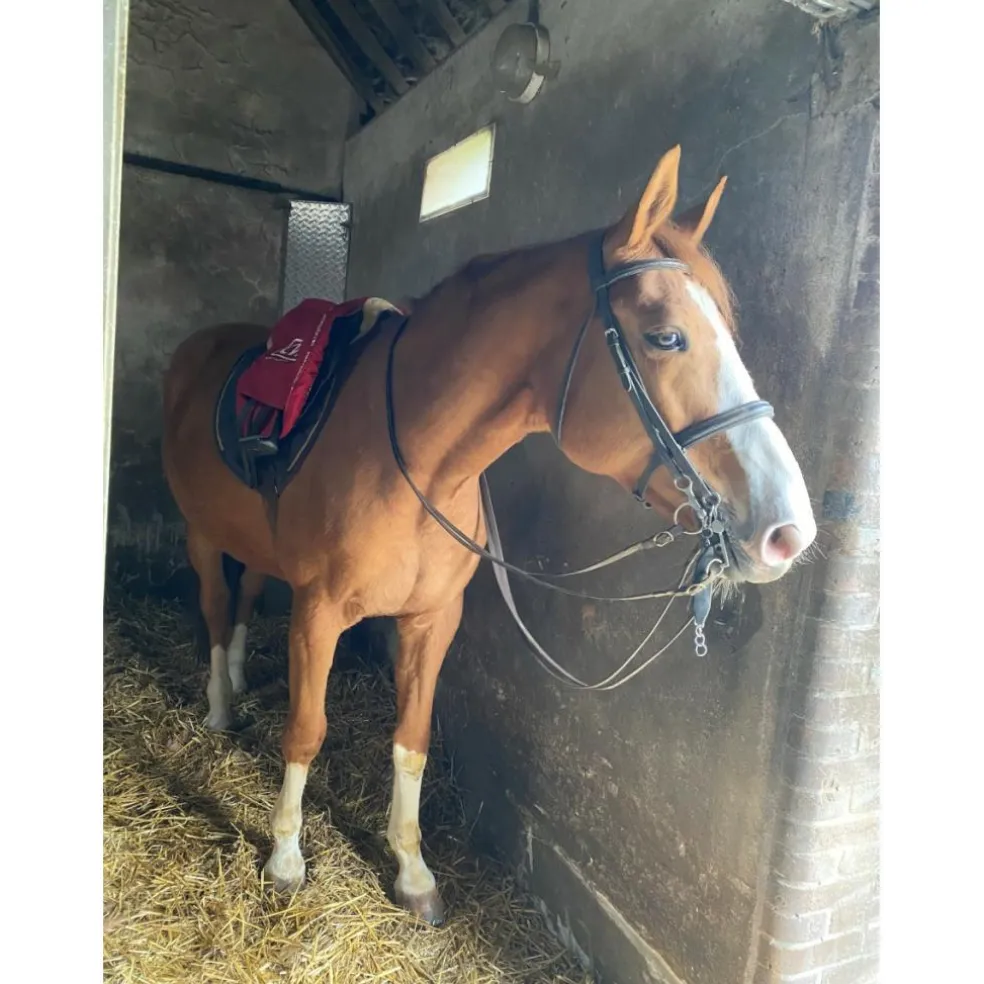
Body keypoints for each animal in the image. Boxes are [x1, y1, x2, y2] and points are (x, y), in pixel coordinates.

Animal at [161, 145, 817, 925]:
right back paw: (220, 704)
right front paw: (287, 857)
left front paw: (413, 872)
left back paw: (235, 677)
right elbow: (307, 728)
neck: (411, 460)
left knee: (244, 597)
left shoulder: (433, 619)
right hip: (200, 533)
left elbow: (412, 740)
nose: (788, 531)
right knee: (212, 605)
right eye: (666, 336)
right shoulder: (318, 613)